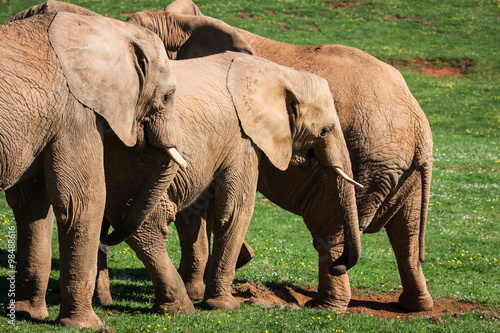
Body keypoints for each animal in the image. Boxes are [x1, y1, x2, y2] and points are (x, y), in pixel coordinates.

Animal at [0, 10, 185, 326]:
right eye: (167, 96)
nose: (107, 238)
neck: (108, 27)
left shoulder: (44, 120)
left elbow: (31, 204)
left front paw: (27, 314)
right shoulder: (76, 111)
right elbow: (82, 202)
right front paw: (88, 325)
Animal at [160, 0, 434, 312]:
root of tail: (419, 129)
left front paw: (195, 289)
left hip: (370, 160)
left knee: (330, 230)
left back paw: (325, 306)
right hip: (402, 172)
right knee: (406, 236)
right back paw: (416, 306)